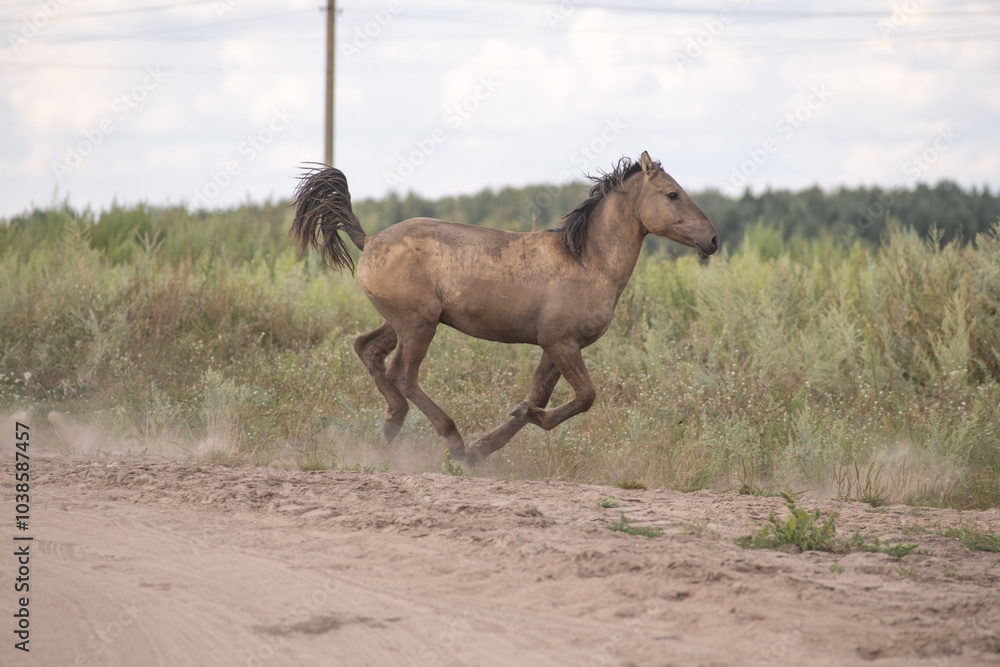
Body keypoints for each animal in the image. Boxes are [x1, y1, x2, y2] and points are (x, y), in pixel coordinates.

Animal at [290, 151, 720, 464]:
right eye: (672, 194)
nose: (713, 239)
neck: (588, 262)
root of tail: (371, 240)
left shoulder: (556, 347)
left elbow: (539, 396)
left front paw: (488, 444)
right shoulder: (561, 343)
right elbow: (584, 397)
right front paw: (506, 428)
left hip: (402, 323)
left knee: (367, 350)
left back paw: (392, 424)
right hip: (418, 325)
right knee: (403, 375)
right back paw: (451, 440)